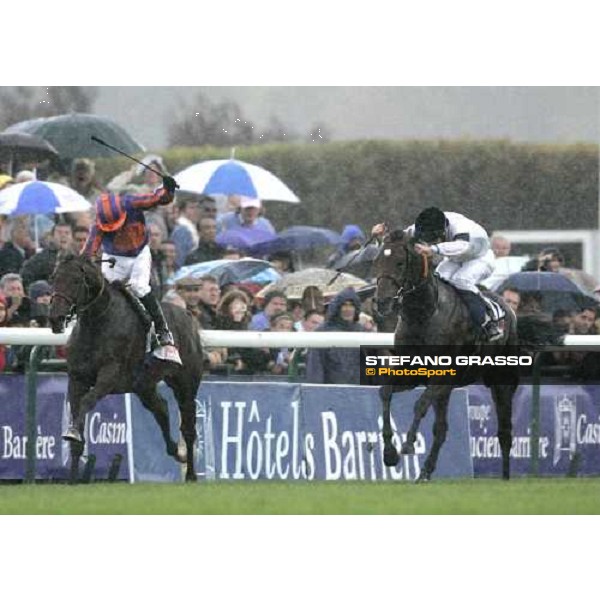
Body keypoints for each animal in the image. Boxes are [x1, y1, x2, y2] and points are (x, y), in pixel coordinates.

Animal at [49, 254, 204, 482]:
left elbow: (87, 401)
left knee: (188, 427)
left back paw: (191, 474)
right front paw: (73, 478)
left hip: (185, 384)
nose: (55, 318)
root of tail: (188, 315)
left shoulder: (110, 376)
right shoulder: (77, 378)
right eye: (53, 278)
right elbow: (76, 415)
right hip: (143, 385)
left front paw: (73, 433)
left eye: (76, 281)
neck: (98, 322)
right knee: (161, 408)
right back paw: (177, 451)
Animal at [372, 227, 516, 480]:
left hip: (501, 381)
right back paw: (425, 472)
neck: (424, 314)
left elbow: (420, 404)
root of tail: (508, 307)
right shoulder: (412, 372)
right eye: (378, 261)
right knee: (441, 430)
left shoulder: (442, 374)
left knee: (505, 431)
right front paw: (389, 453)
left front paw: (408, 443)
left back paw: (506, 478)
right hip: (449, 389)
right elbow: (385, 392)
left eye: (399, 263)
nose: (382, 302)